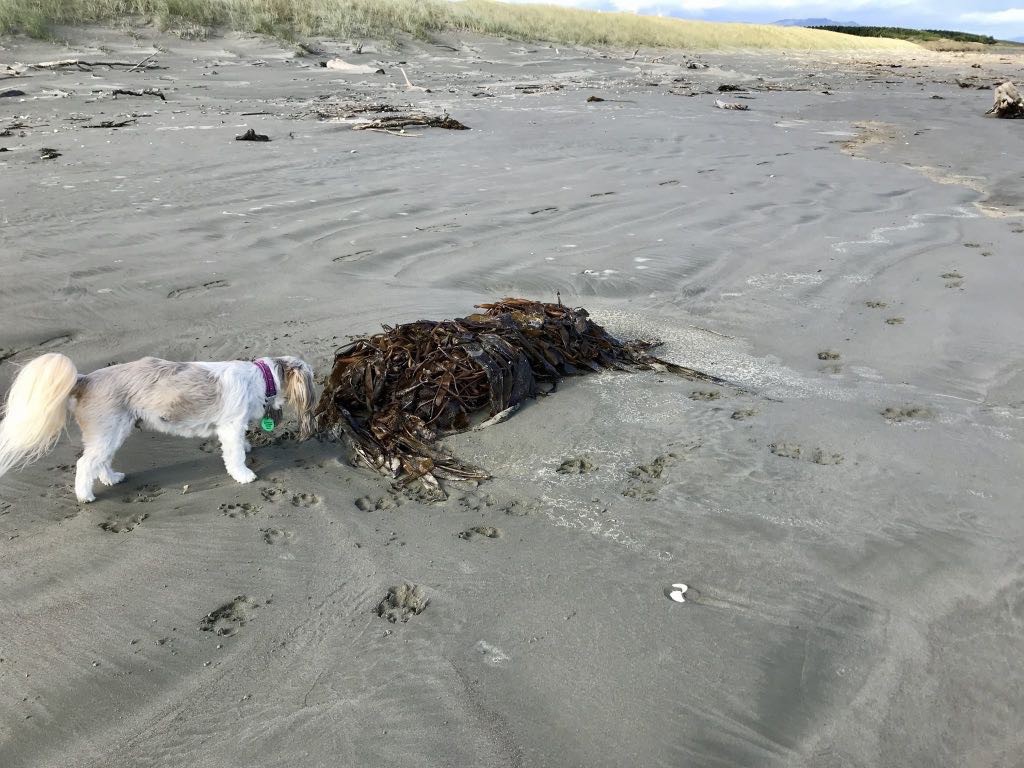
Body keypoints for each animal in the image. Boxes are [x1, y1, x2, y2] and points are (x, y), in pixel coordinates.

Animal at [0, 354, 315, 505]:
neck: (261, 378)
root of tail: (85, 379)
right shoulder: (231, 426)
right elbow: (235, 454)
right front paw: (244, 474)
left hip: (114, 431)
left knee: (98, 461)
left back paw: (111, 479)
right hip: (109, 430)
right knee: (85, 463)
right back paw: (85, 496)